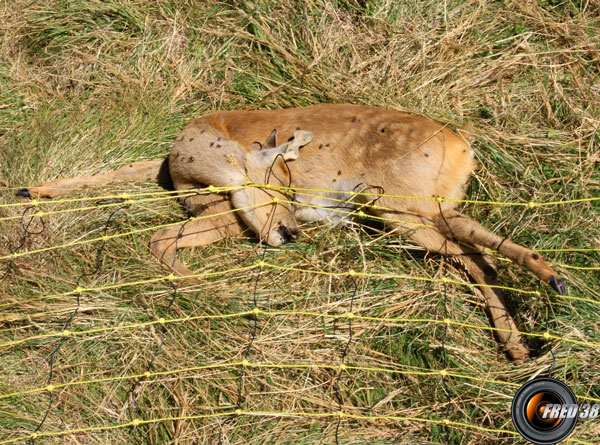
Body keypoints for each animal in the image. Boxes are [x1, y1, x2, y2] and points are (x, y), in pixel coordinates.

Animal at [16, 104, 564, 360]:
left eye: (287, 181)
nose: (292, 231)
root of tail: (463, 146)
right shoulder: (229, 215)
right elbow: (153, 222)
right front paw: (32, 190)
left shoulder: (228, 208)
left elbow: (158, 236)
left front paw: (206, 295)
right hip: (419, 210)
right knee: (475, 258)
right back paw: (520, 339)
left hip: (402, 206)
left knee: (474, 251)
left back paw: (549, 286)